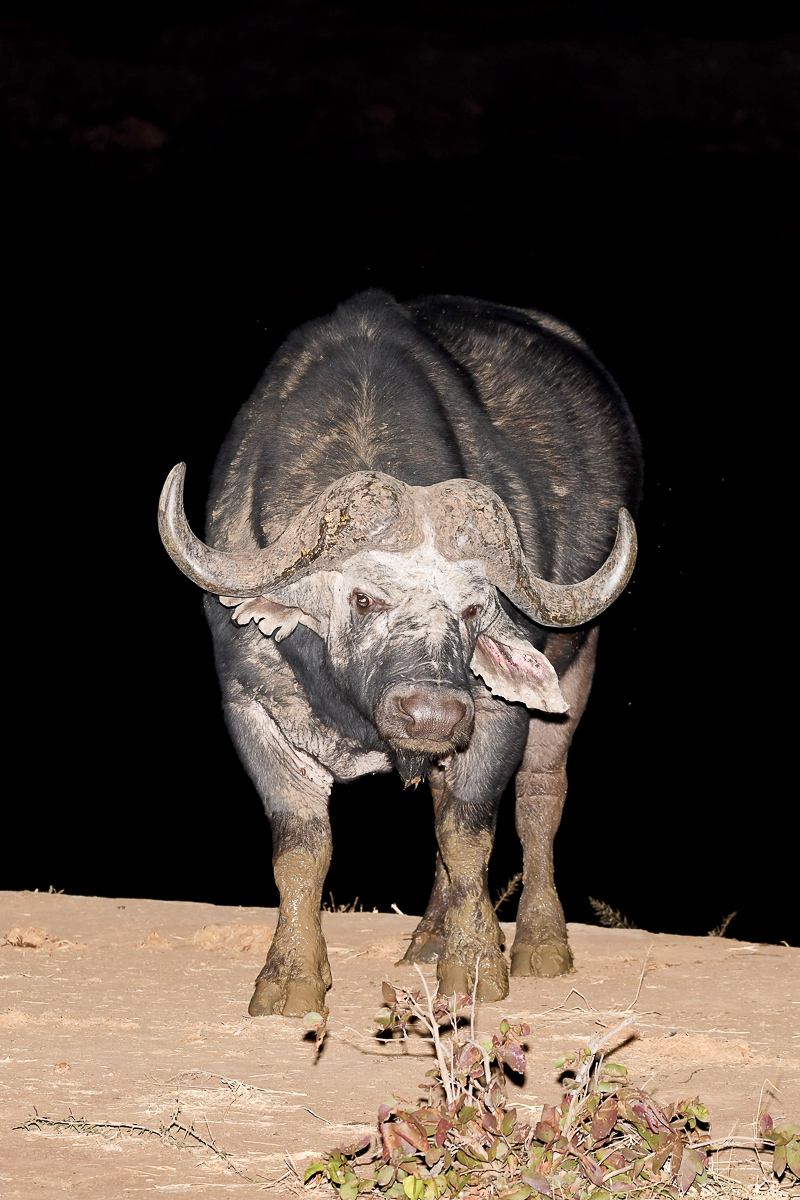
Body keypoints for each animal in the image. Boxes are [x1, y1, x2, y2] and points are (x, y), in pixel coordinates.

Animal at [159, 290, 642, 1017]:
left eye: (472, 609)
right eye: (362, 599)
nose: (433, 715)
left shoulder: (496, 715)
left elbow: (467, 834)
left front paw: (476, 965)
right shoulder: (251, 707)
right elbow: (301, 844)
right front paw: (290, 979)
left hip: (575, 667)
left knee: (538, 798)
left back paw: (538, 943)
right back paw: (429, 938)